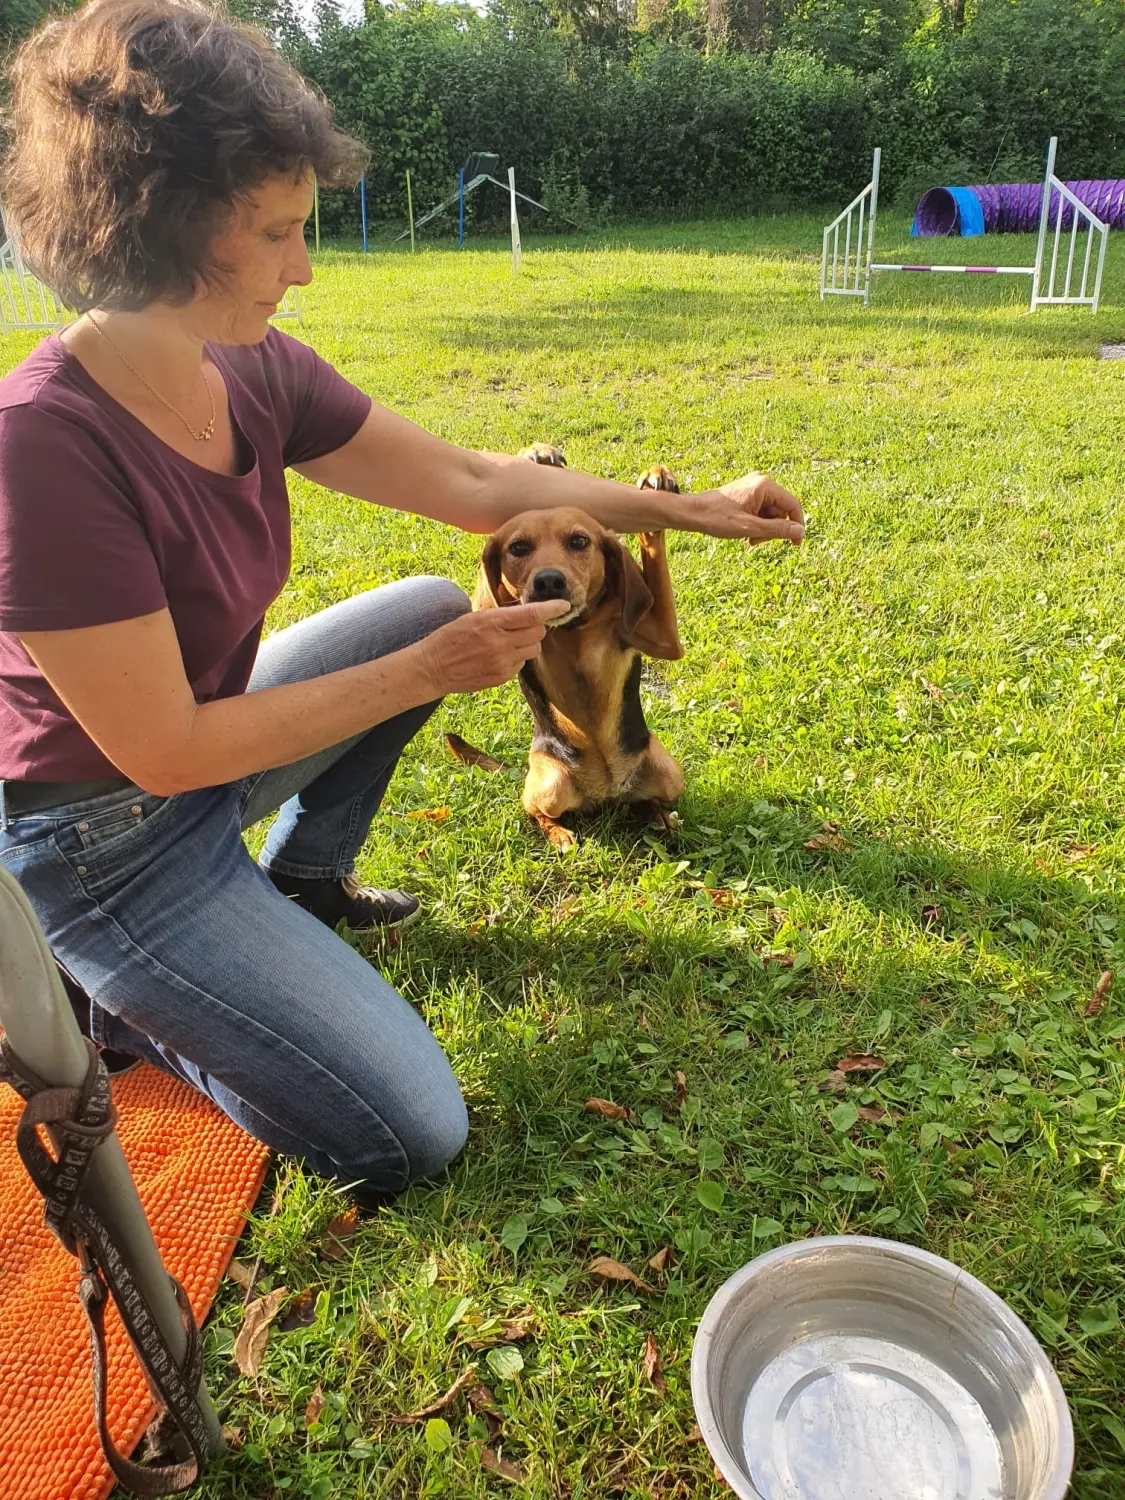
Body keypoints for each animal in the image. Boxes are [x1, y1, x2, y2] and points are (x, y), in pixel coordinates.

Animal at [471, 441, 684, 846]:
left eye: (579, 541)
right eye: (518, 547)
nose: (549, 582)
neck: (573, 630)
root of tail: (606, 794)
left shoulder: (664, 639)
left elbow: (655, 555)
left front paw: (657, 482)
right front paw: (535, 453)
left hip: (668, 771)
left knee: (645, 800)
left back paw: (658, 816)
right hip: (550, 783)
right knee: (535, 811)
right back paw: (559, 834)